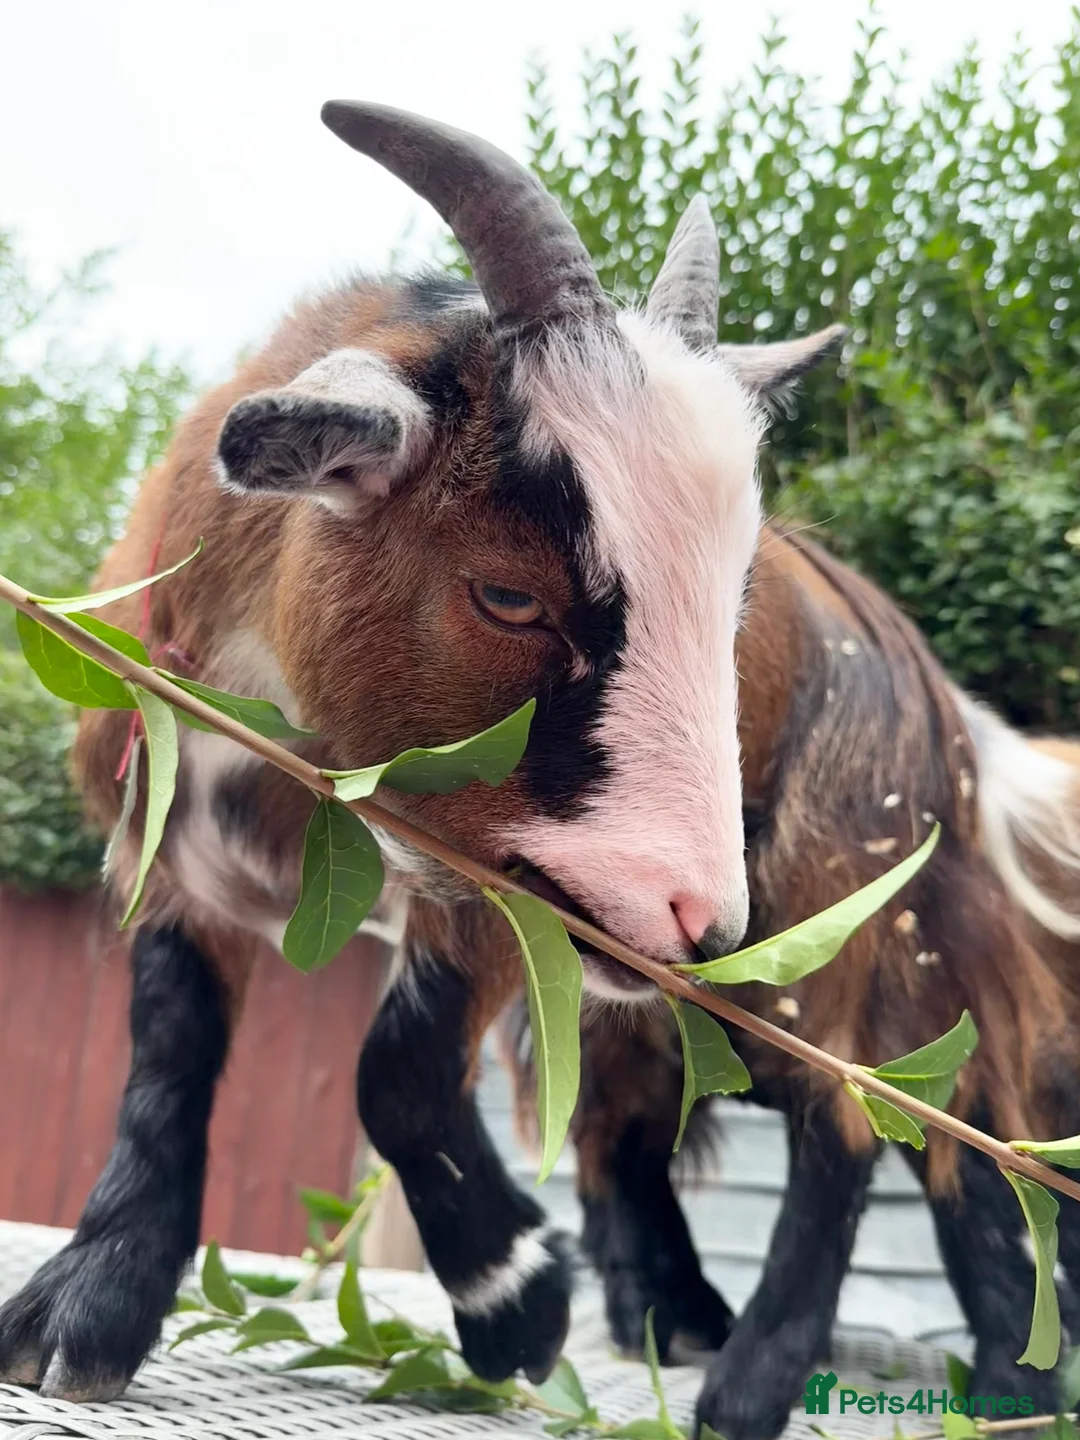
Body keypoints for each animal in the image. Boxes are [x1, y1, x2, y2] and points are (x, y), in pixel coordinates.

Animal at [0, 100, 1076, 1440]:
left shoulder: (501, 880)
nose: (702, 919)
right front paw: (87, 1307)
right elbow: (170, 1045)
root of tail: (938, 702)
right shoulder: (175, 842)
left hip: (839, 895)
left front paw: (513, 1303)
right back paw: (962, 1368)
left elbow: (400, 1070)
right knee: (875, 1117)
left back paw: (754, 1383)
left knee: (844, 1115)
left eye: (734, 605)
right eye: (509, 596)